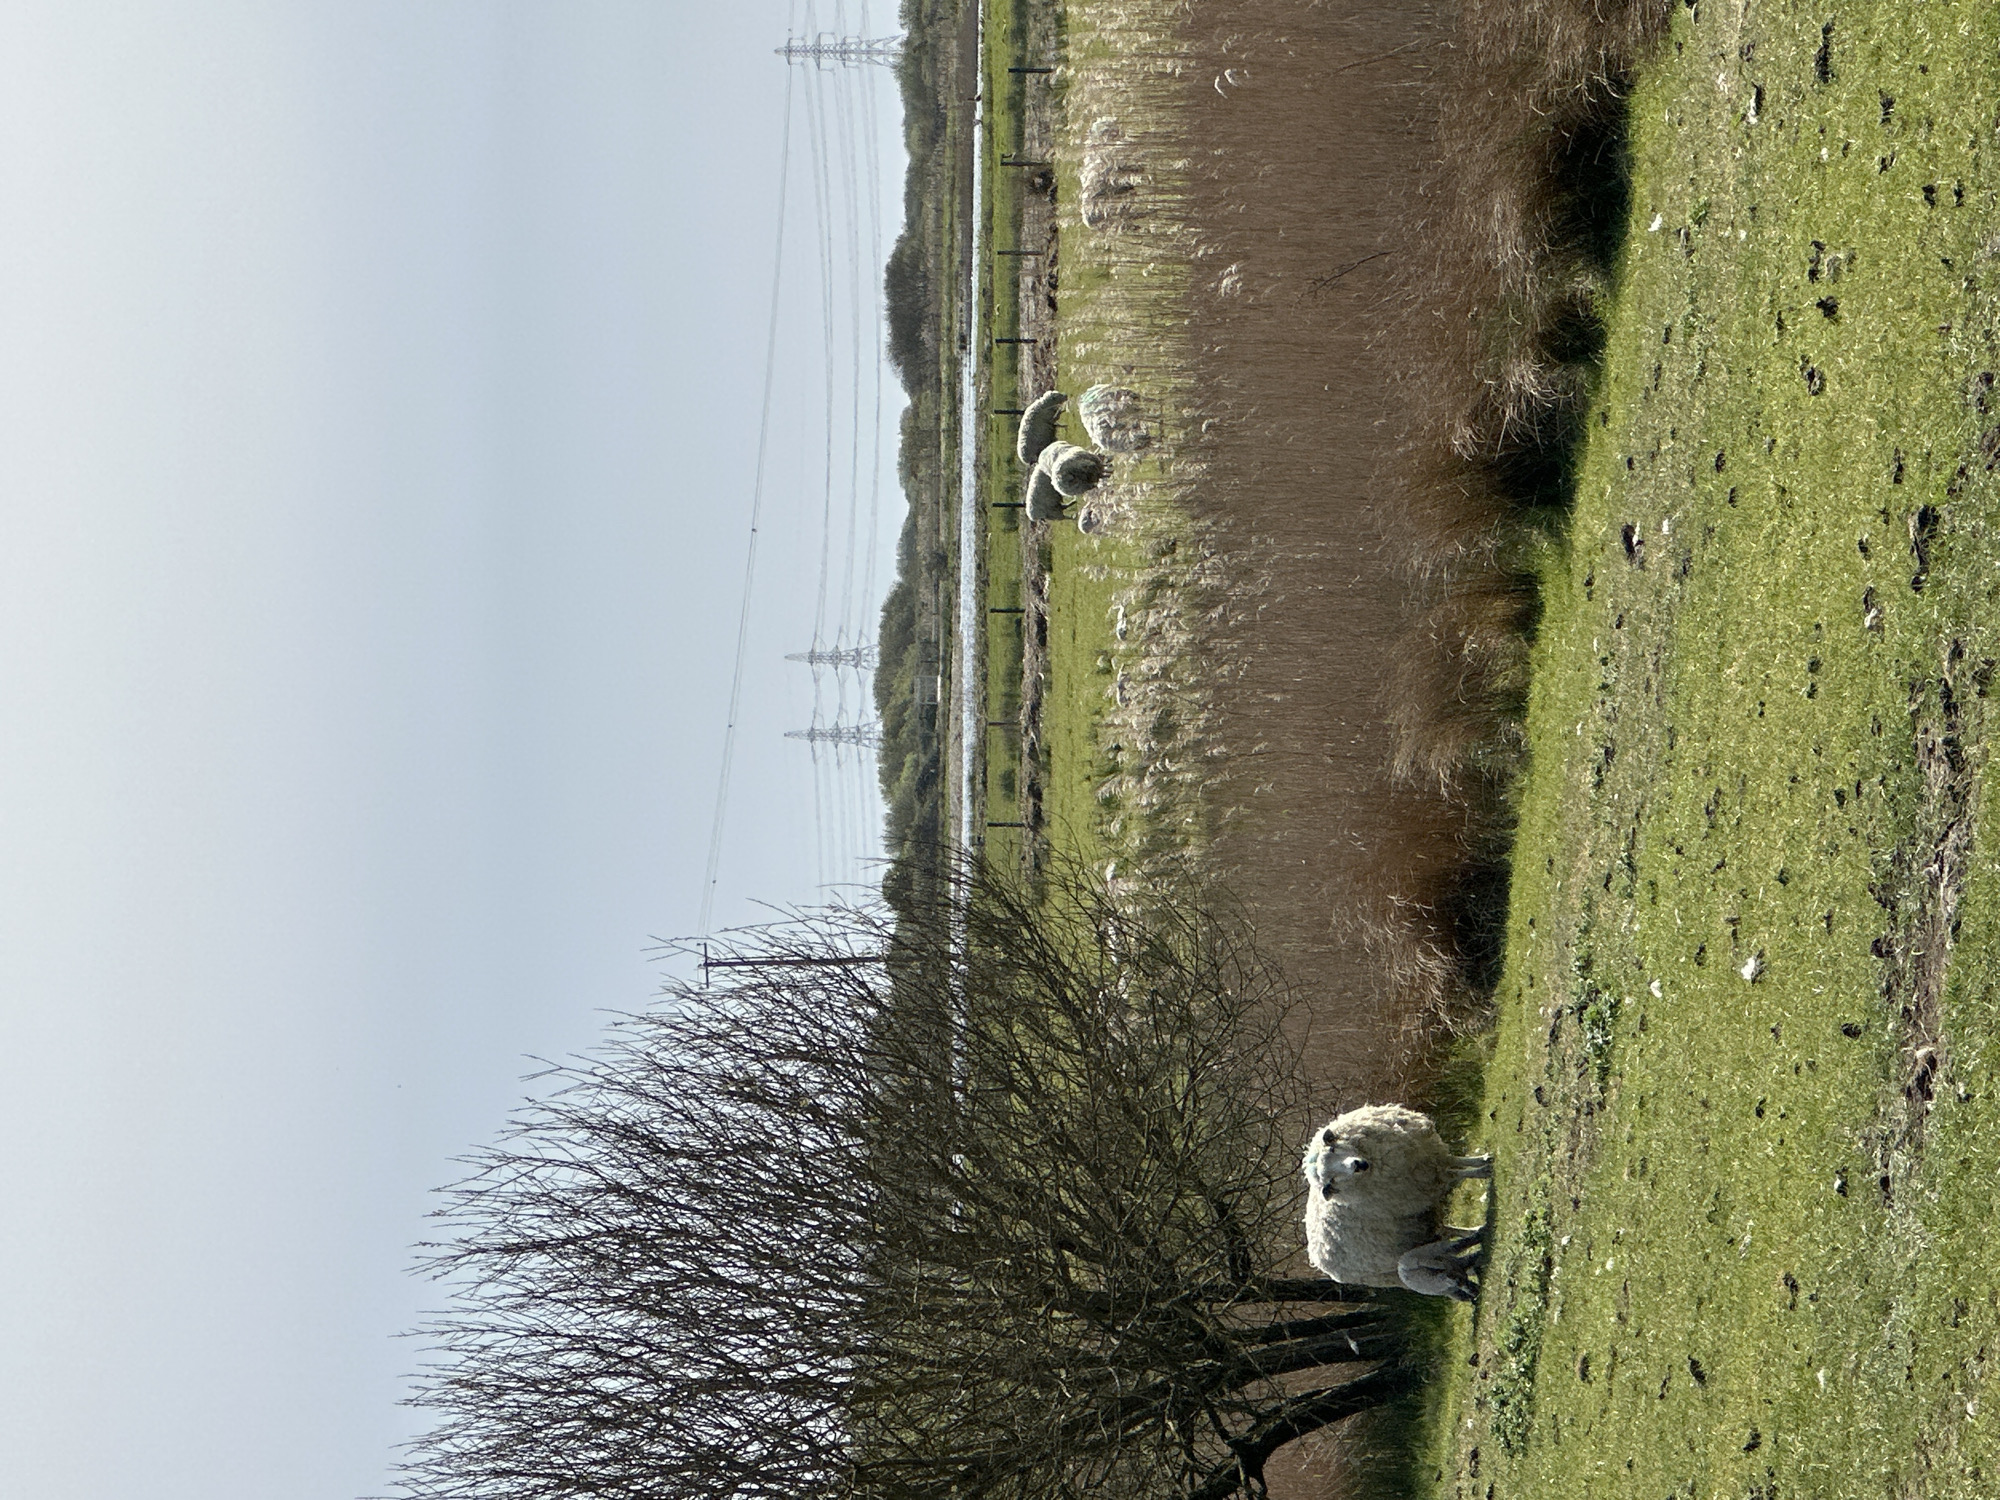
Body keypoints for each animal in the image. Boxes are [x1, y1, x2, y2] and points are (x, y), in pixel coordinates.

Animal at [1301, 1104, 1492, 1301]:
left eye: (1332, 1149)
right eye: (1330, 1181)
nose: (1357, 1165)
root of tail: (1318, 1261)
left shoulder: (1428, 1156)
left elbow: (1457, 1161)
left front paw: (1484, 1160)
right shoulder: (1425, 1179)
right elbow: (1456, 1173)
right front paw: (1485, 1170)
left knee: (1446, 1231)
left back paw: (1476, 1231)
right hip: (1399, 1269)